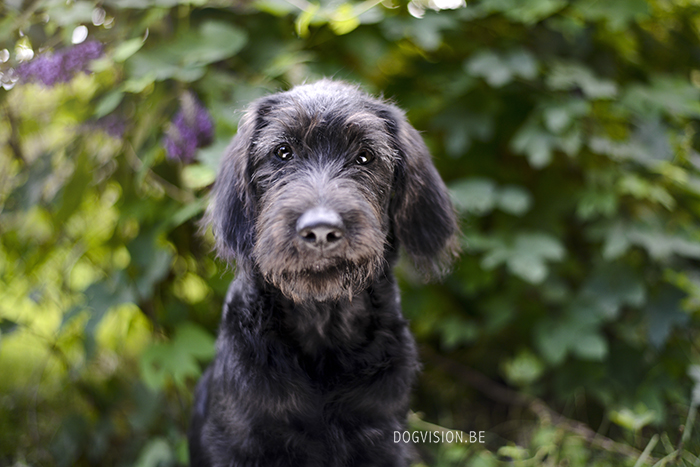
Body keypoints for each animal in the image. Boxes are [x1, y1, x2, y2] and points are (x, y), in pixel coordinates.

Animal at [189, 81, 460, 467]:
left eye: (365, 157)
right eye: (283, 152)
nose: (320, 230)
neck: (322, 325)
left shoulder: (382, 439)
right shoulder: (239, 443)